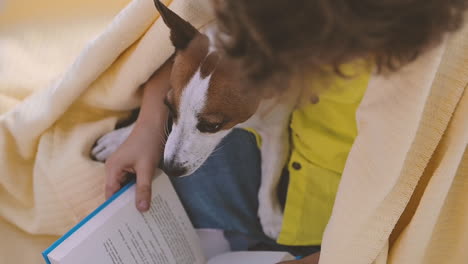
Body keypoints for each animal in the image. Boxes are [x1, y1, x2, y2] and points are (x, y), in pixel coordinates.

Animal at [91, 0, 300, 239]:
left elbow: (269, 178)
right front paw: (120, 138)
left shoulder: (276, 130)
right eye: (168, 107)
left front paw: (270, 215)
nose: (169, 168)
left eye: (212, 125)